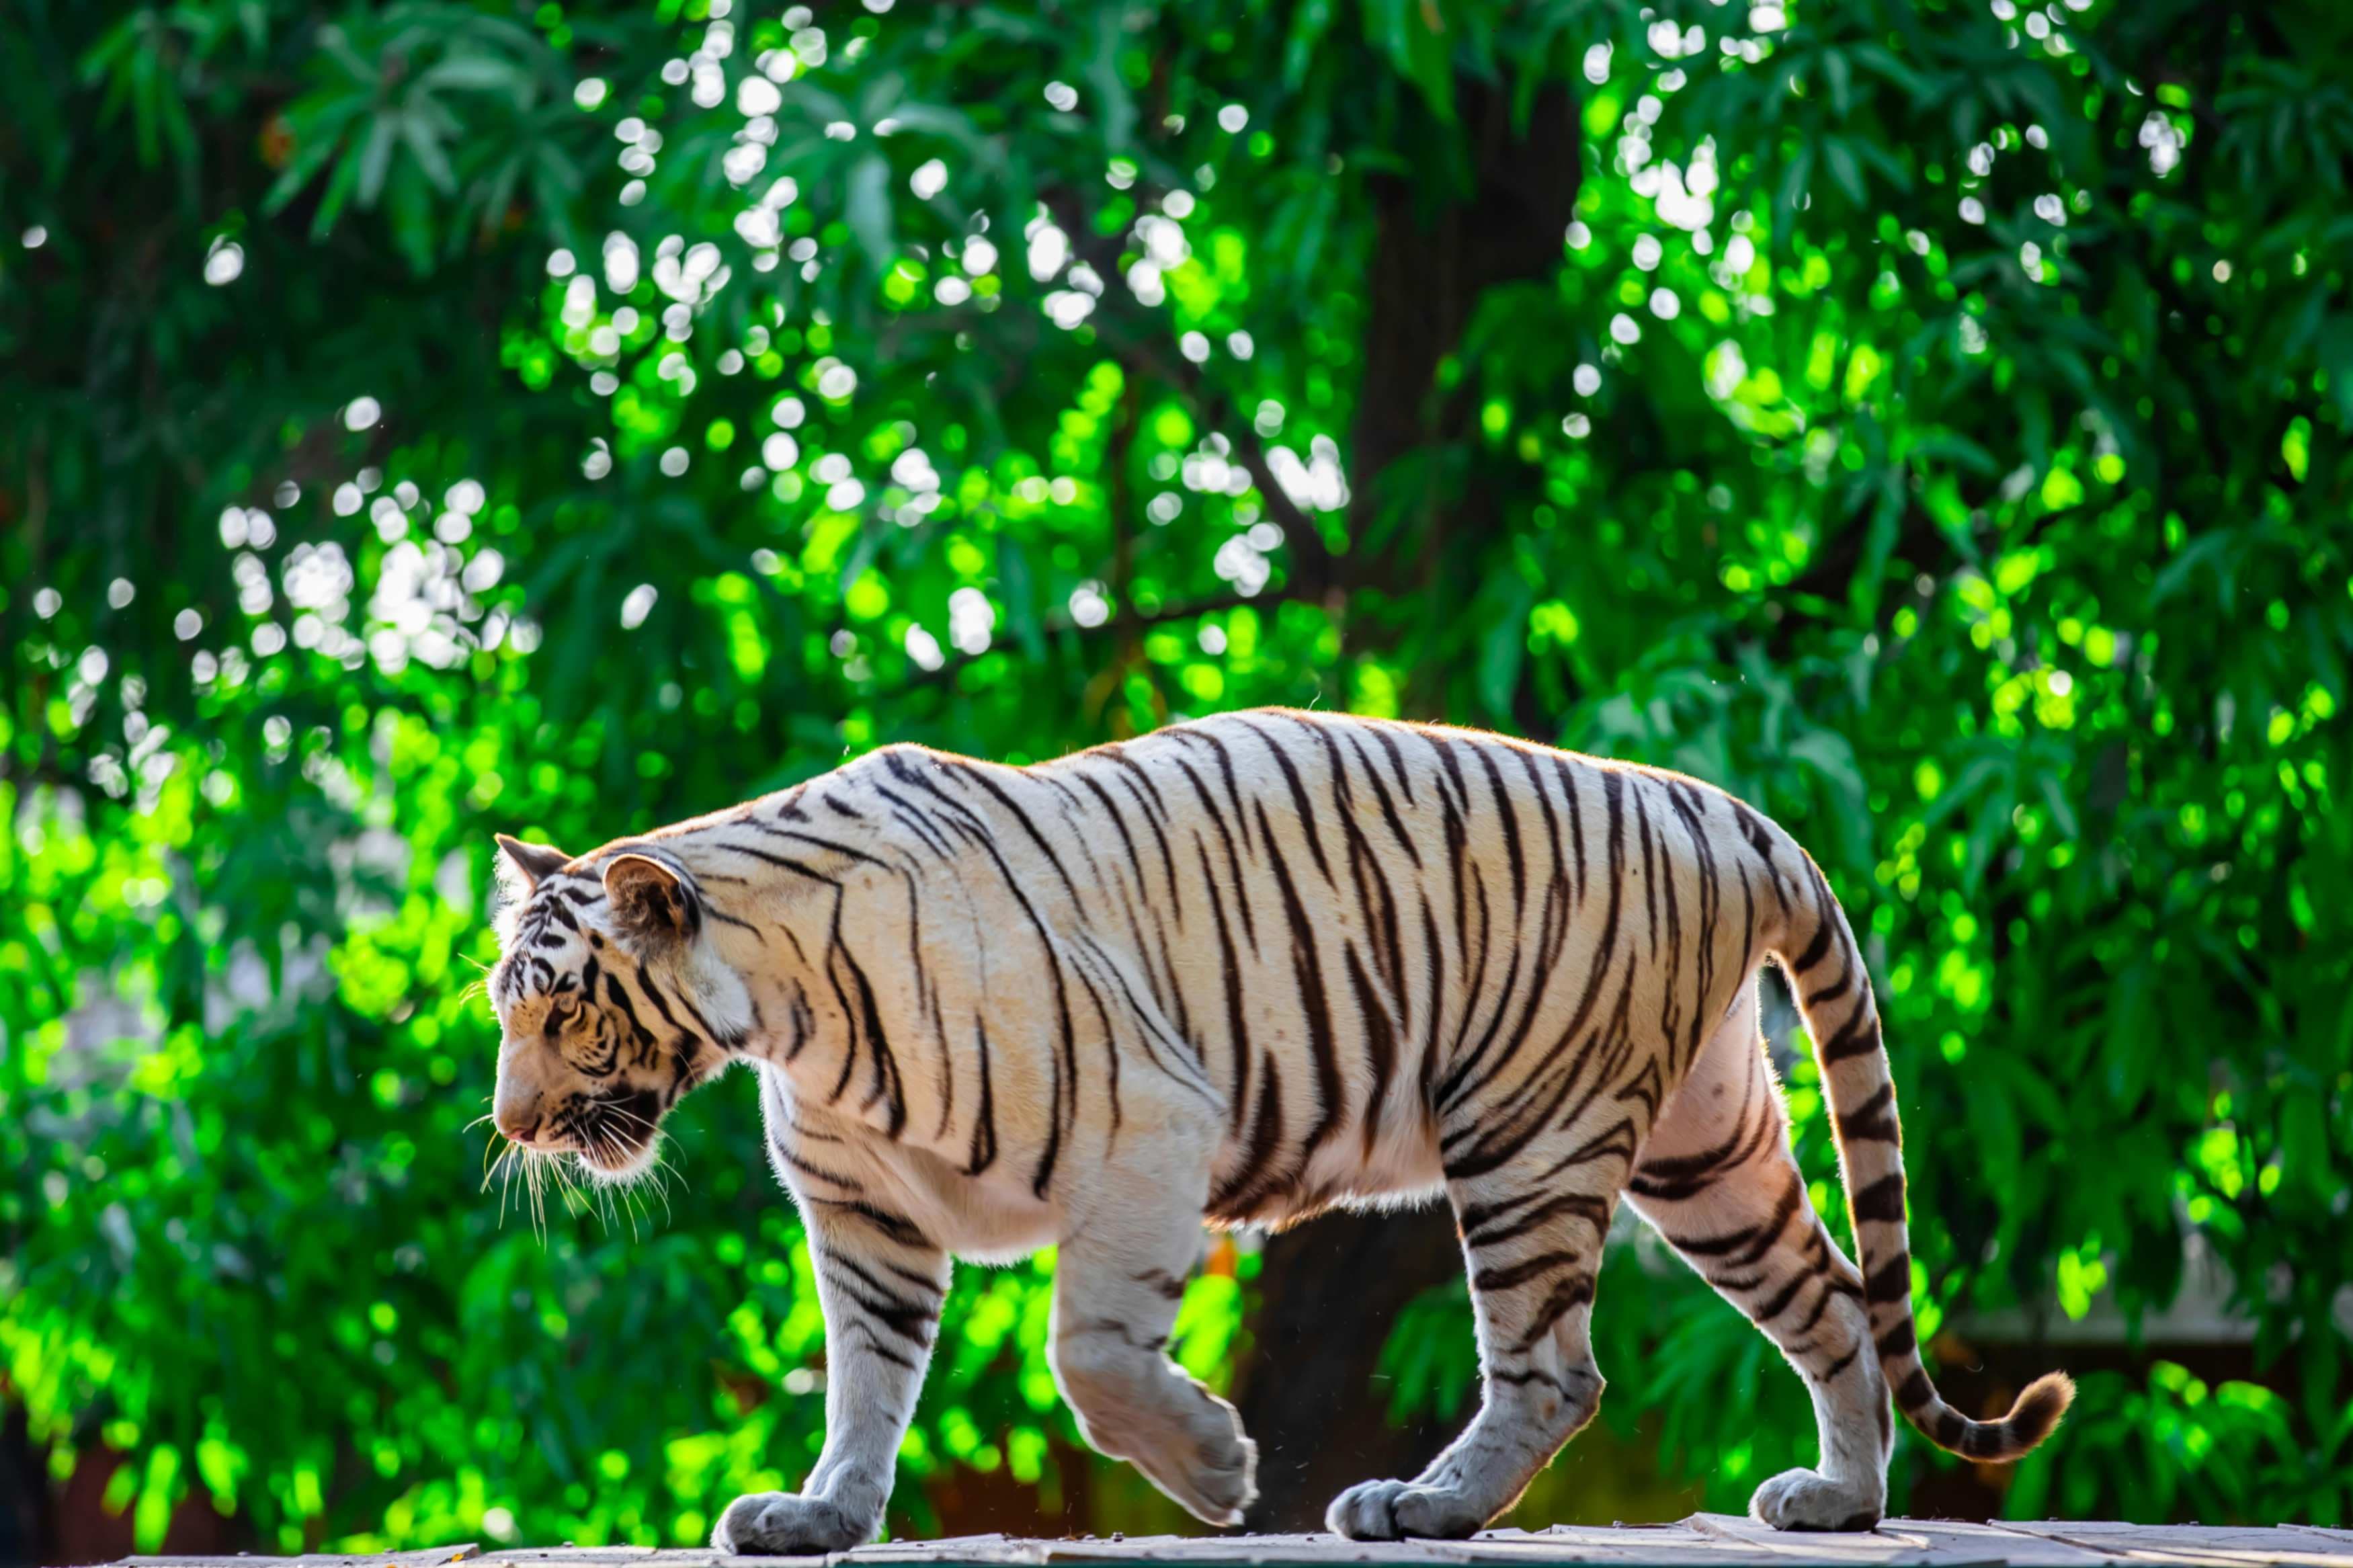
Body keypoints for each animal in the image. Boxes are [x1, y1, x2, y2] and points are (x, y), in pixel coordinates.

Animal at [484, 707, 2071, 1552]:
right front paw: (818, 1516)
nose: (510, 1121)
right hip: (1704, 1142)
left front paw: (1214, 1469)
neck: (785, 1019)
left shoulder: (1142, 1122)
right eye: (507, 1004)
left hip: (1526, 1129)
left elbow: (1087, 1348)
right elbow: (867, 1383)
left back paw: (1419, 1503)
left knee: (1556, 1367)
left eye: (562, 1012)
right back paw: (1839, 1498)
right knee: (1831, 1299)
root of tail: (1731, 810)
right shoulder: (864, 1217)